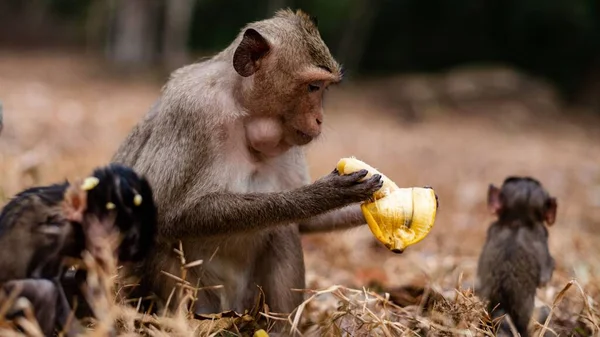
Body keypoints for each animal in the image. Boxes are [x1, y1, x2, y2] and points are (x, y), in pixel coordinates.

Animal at [111, 8, 384, 322]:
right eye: (313, 87)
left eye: (323, 89)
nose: (319, 119)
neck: (241, 110)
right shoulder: (193, 111)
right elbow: (164, 214)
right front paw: (322, 195)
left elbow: (303, 223)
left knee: (282, 231)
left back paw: (279, 326)